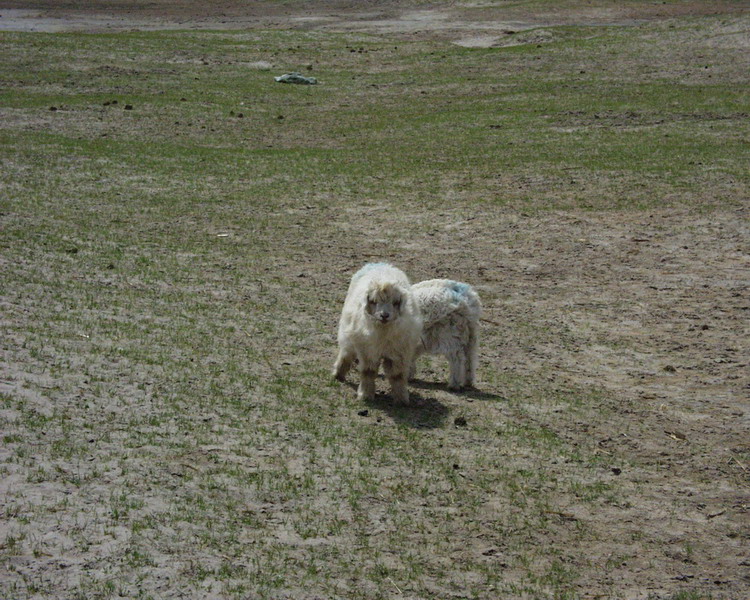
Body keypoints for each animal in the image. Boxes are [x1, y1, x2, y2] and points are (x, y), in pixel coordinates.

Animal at [334, 262, 424, 404]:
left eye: (395, 302)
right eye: (373, 301)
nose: (384, 315)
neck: (383, 332)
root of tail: (381, 263)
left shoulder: (399, 352)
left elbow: (397, 375)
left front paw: (401, 398)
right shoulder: (368, 350)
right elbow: (368, 371)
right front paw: (365, 394)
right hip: (348, 334)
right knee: (346, 354)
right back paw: (338, 374)